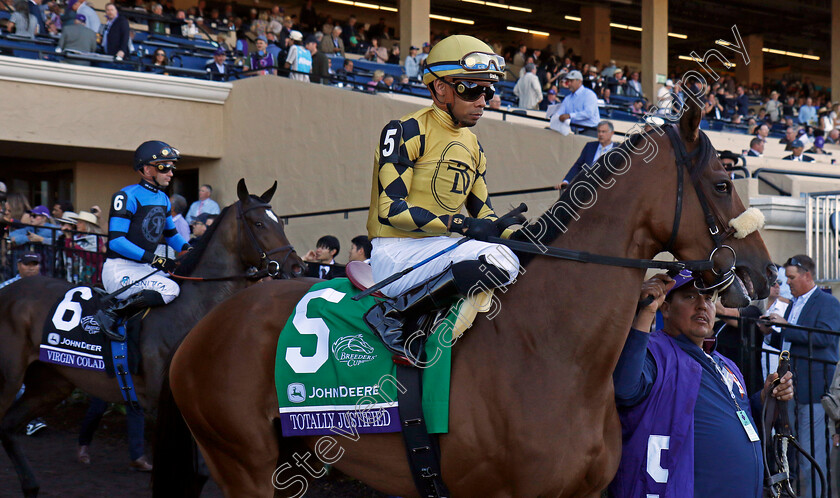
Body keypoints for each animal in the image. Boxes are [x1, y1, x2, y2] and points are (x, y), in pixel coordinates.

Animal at [0, 180, 302, 498]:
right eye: (259, 223)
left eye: (279, 222)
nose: (296, 267)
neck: (194, 312)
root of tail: (9, 290)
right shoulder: (173, 408)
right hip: (9, 378)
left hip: (50, 384)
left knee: (7, 427)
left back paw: (31, 486)